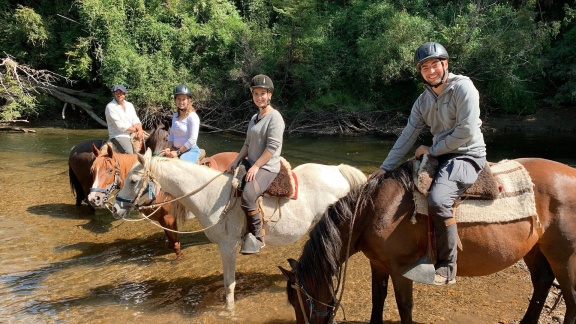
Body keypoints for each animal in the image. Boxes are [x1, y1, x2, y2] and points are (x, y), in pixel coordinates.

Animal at [87, 146, 238, 260]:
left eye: (110, 170)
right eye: (92, 170)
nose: (93, 198)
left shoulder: (169, 219)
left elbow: (176, 245)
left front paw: (179, 260)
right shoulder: (162, 221)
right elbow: (170, 241)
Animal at [110, 151, 366, 310]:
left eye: (133, 180)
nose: (115, 208)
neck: (211, 195)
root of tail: (338, 170)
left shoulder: (228, 246)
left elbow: (229, 284)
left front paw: (228, 310)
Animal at [280, 158, 576, 324]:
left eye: (298, 300)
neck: (373, 211)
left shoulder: (401, 270)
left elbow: (404, 307)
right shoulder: (378, 265)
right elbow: (378, 300)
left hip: (564, 255)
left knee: (570, 297)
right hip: (535, 248)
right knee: (542, 283)